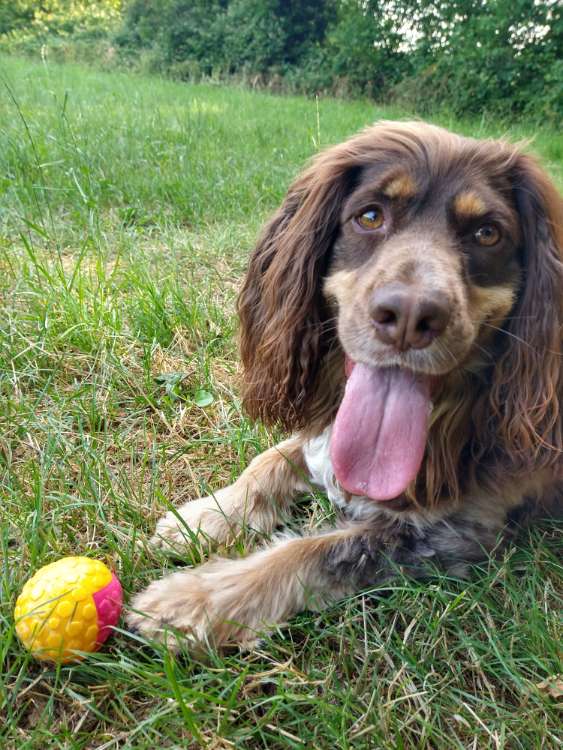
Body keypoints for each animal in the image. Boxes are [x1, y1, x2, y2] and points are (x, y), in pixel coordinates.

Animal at [129, 123, 563, 652]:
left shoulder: (449, 531)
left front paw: (193, 600)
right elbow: (268, 461)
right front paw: (206, 518)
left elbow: (312, 550)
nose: (410, 315)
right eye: (370, 216)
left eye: (487, 233)